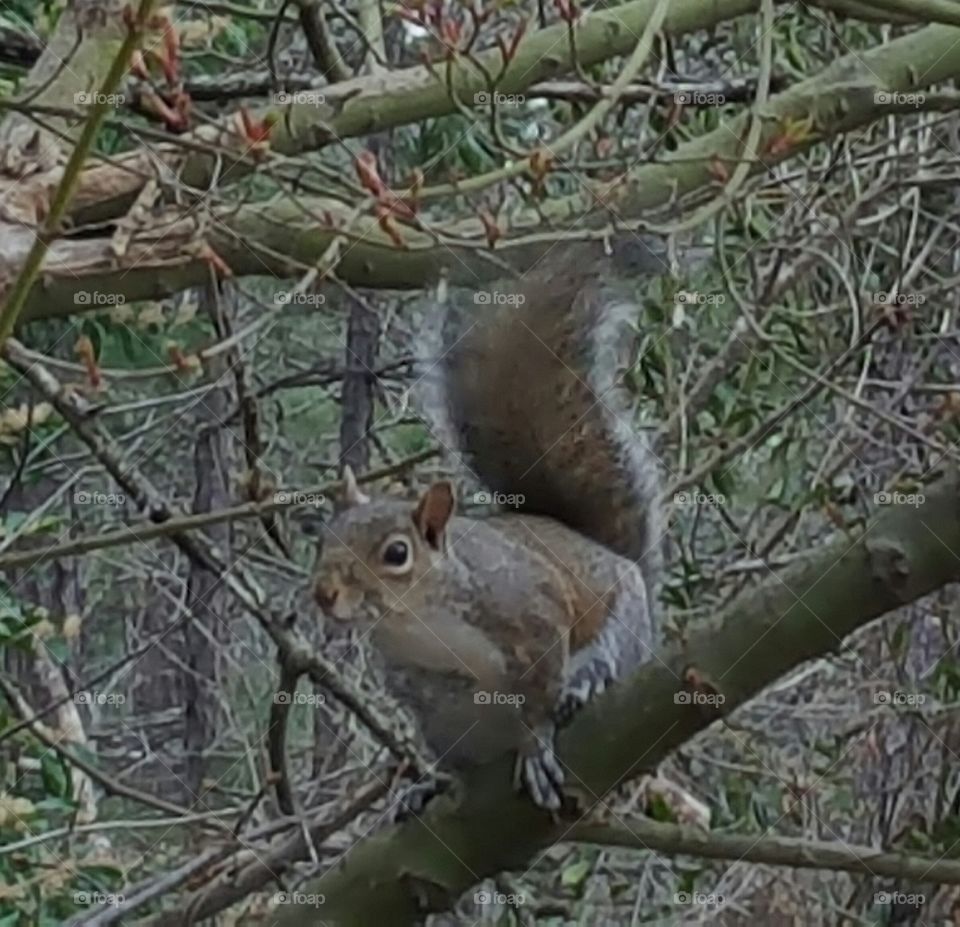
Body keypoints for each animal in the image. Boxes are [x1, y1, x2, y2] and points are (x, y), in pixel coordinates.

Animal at [313, 240, 664, 811]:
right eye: (325, 539)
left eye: (396, 554)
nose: (324, 594)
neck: (421, 621)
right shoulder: (425, 696)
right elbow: (447, 754)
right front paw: (434, 783)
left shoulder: (532, 612)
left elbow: (540, 697)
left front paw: (538, 746)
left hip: (625, 629)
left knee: (604, 658)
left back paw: (587, 684)